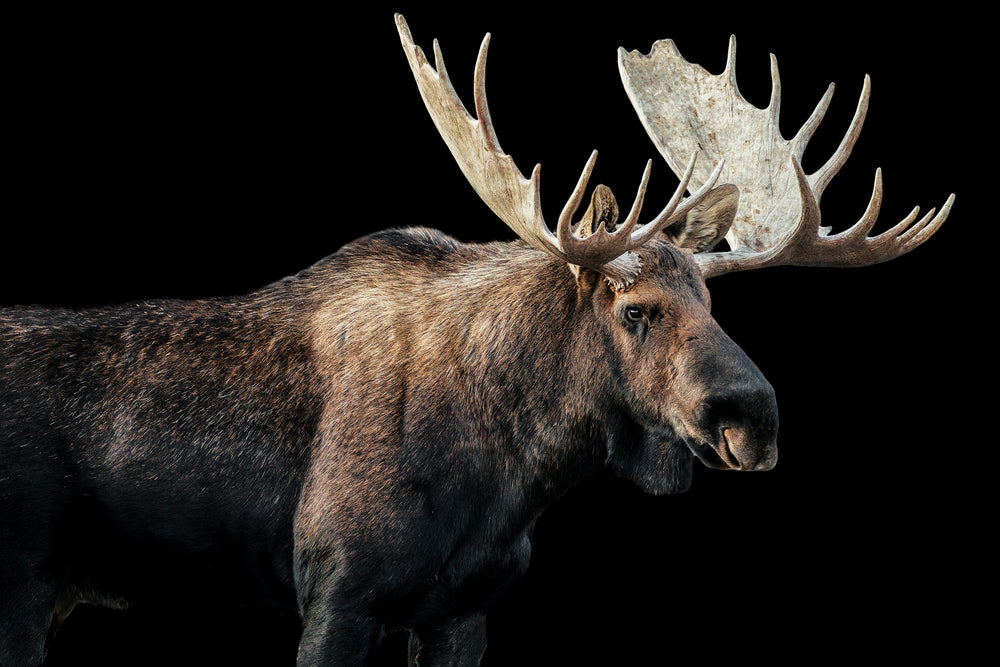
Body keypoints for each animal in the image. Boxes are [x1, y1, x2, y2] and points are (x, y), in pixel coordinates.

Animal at [0, 13, 953, 666]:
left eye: (716, 305)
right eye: (634, 309)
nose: (753, 419)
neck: (512, 471)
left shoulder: (465, 610)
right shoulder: (336, 593)